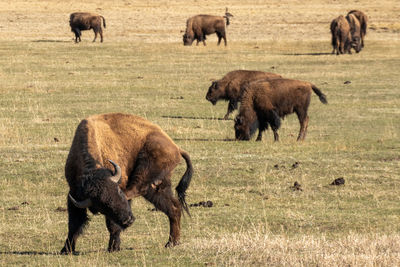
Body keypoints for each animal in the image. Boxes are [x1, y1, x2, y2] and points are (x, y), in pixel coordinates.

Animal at [59, 113, 195, 255]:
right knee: (173, 207)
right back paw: (172, 242)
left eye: (118, 191)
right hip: (158, 188)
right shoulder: (74, 194)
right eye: (102, 207)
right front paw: (66, 250)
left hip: (146, 170)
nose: (128, 220)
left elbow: (111, 225)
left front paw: (114, 247)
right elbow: (74, 224)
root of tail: (176, 148)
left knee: (138, 189)